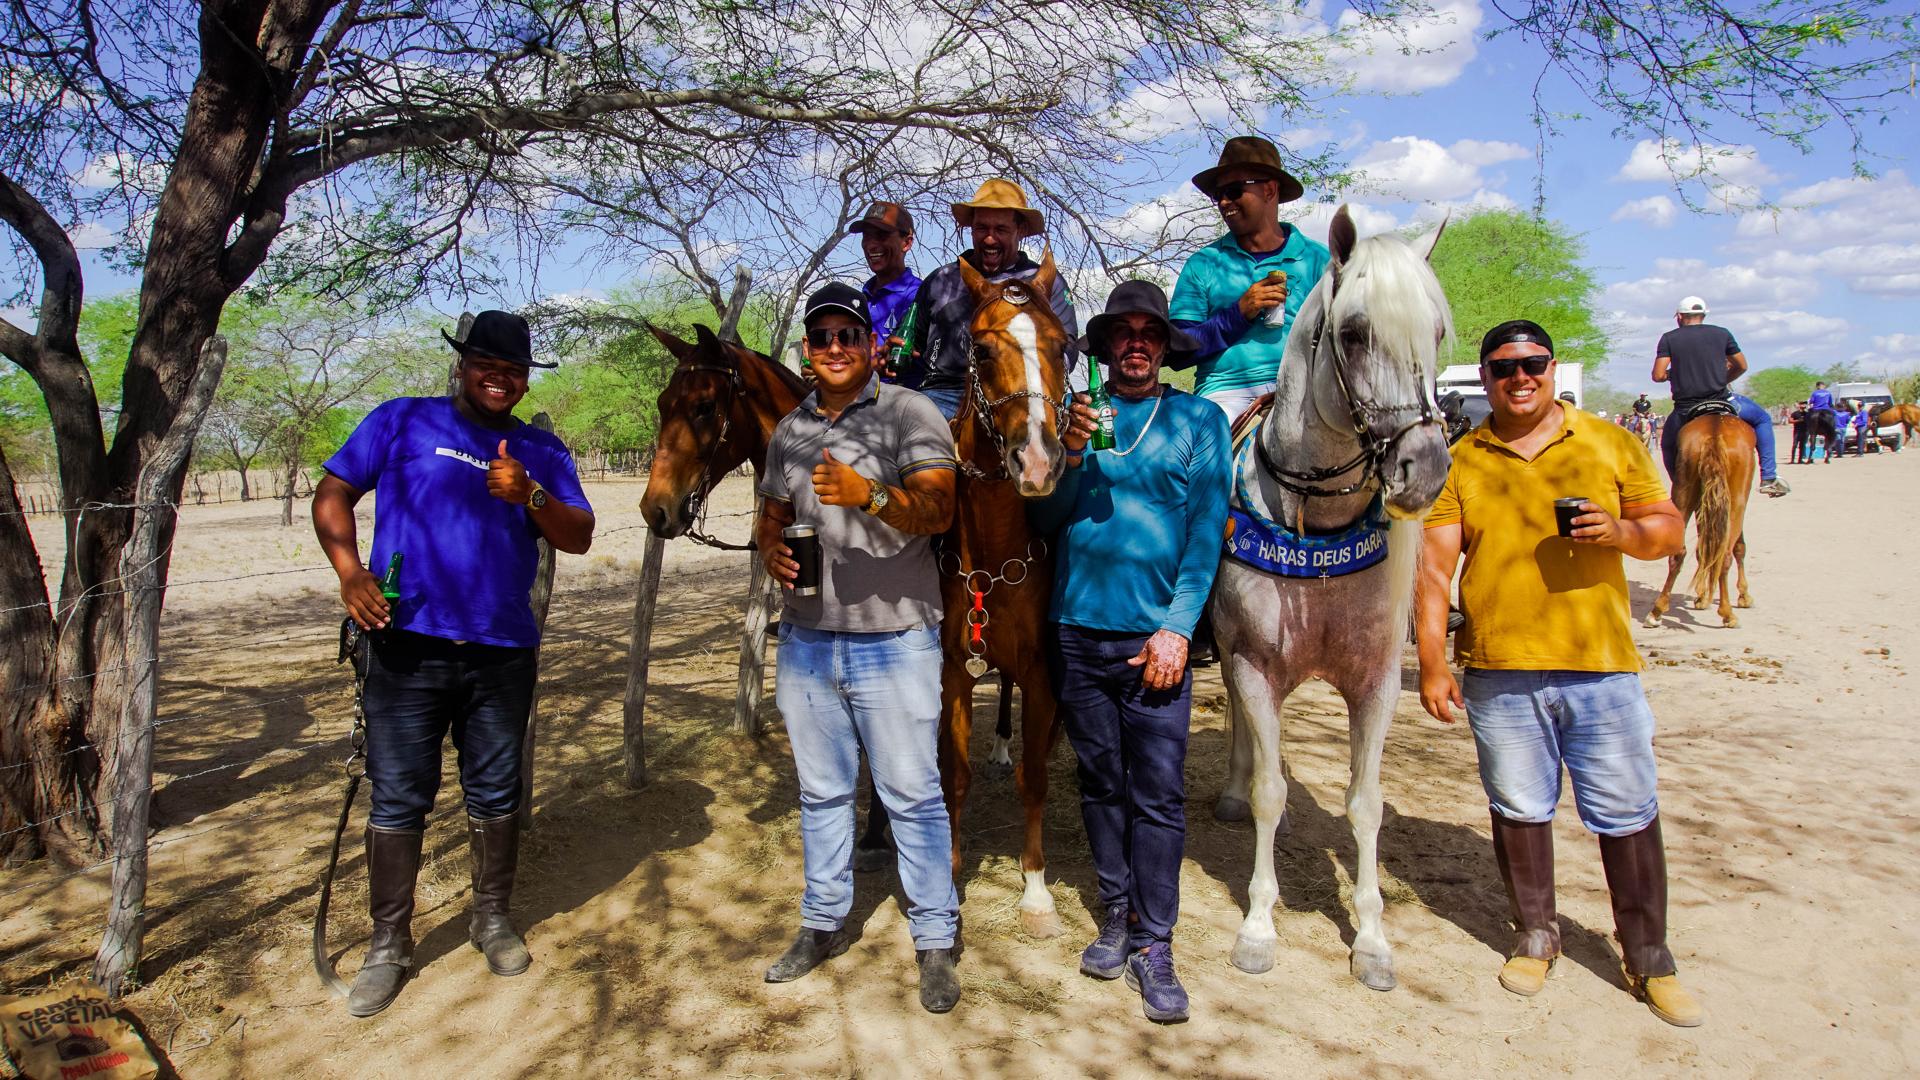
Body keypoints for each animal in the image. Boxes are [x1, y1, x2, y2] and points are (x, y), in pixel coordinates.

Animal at [1209, 206, 1454, 990]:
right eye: (1354, 333)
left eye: (1439, 332)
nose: (1423, 469)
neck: (1316, 525)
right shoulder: (1255, 664)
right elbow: (1270, 793)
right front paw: (1258, 928)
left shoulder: (1376, 683)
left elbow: (1366, 805)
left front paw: (1372, 940)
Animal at [1644, 413, 1754, 627]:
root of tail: (1714, 434)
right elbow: (1738, 547)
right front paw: (1743, 595)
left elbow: (1704, 548)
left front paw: (1702, 595)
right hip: (1737, 498)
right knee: (1725, 554)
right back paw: (1727, 613)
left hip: (1684, 488)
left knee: (1679, 552)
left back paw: (1657, 610)